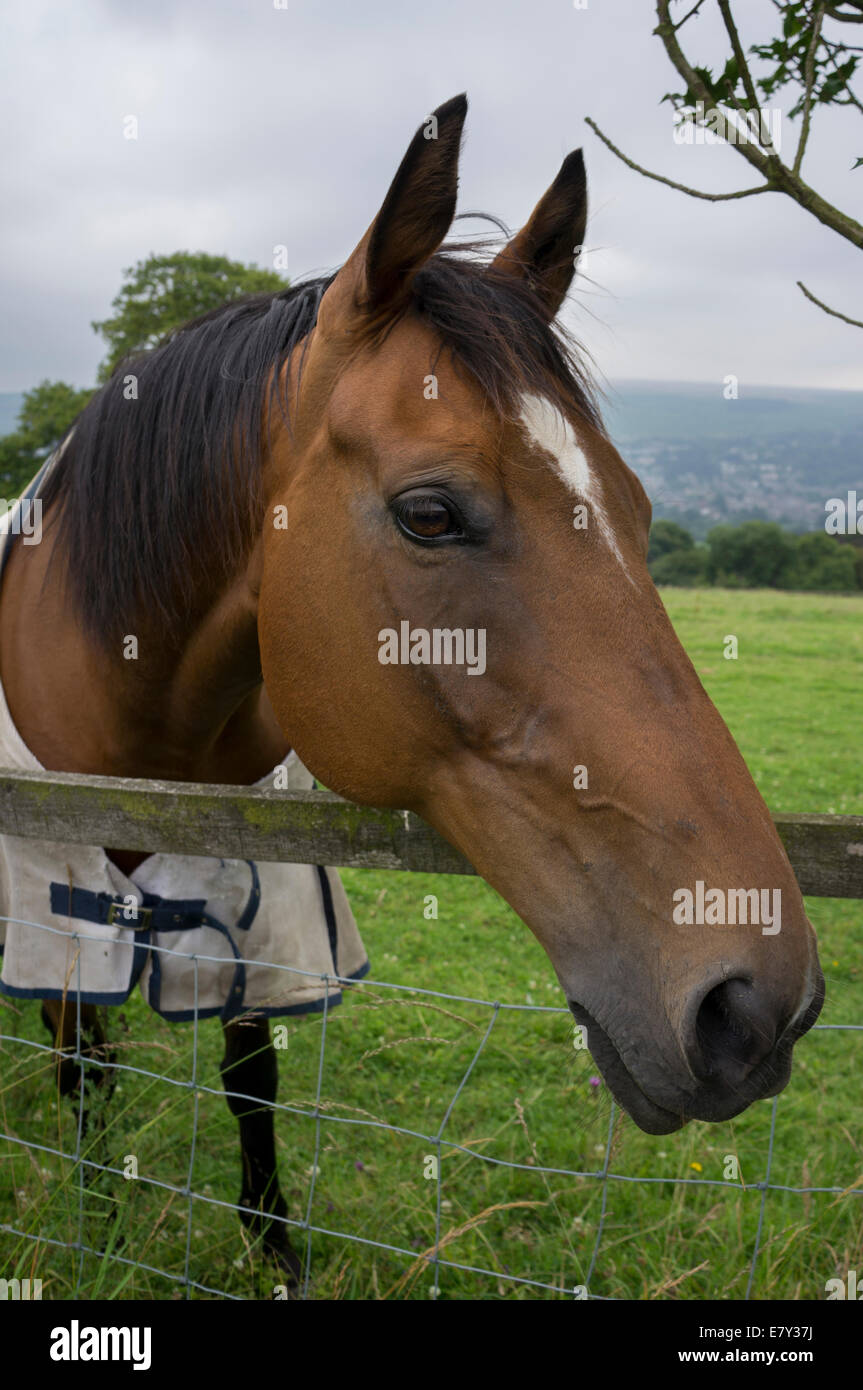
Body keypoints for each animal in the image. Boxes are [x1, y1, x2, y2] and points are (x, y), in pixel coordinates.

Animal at [0, 95, 822, 1289]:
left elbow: (252, 1076)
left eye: (636, 507)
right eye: (429, 513)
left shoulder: (263, 905)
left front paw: (275, 1253)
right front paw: (99, 1233)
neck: (144, 747)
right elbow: (90, 1078)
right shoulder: (58, 923)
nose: (758, 1004)